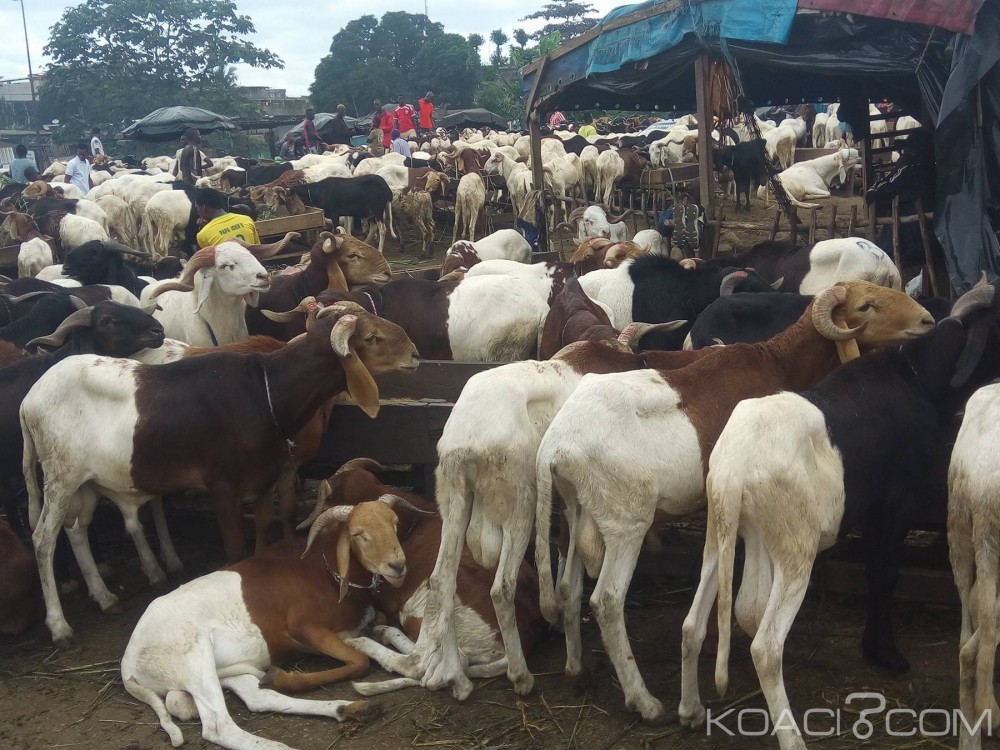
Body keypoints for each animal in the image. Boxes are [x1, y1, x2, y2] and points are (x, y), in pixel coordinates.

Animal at [23, 302, 420, 647]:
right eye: (370, 337)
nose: (415, 354)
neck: (264, 392)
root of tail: (30, 400)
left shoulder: (265, 477)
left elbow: (264, 530)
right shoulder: (222, 486)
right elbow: (235, 545)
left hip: (85, 483)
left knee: (76, 531)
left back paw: (104, 597)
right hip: (60, 478)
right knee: (43, 539)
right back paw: (59, 625)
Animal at [121, 497, 407, 750]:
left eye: (395, 523)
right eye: (359, 533)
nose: (398, 565)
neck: (323, 571)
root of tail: (127, 663)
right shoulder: (305, 628)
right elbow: (360, 661)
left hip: (226, 670)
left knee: (258, 699)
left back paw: (350, 707)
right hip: (195, 662)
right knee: (219, 727)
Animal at [533, 282, 935, 721]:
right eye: (865, 306)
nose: (927, 320)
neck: (778, 363)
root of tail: (555, 446)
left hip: (576, 509)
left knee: (568, 586)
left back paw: (577, 671)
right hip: (626, 521)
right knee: (606, 601)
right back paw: (644, 701)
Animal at [678, 280, 1000, 750]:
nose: (925, 319)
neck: (917, 377)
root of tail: (735, 468)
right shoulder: (894, 499)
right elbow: (883, 573)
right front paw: (885, 654)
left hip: (730, 534)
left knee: (706, 619)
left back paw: (690, 709)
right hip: (795, 549)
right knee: (765, 645)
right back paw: (792, 736)